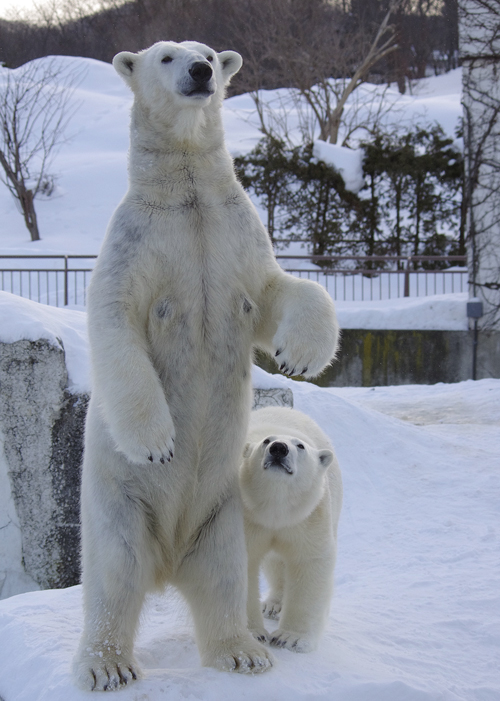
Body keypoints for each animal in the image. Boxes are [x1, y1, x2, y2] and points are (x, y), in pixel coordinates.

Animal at [239, 408, 342, 652]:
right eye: (266, 441)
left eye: (301, 446)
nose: (278, 448)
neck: (275, 510)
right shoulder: (248, 518)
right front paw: (255, 634)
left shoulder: (308, 517)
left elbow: (309, 562)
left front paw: (290, 638)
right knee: (274, 563)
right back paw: (273, 605)